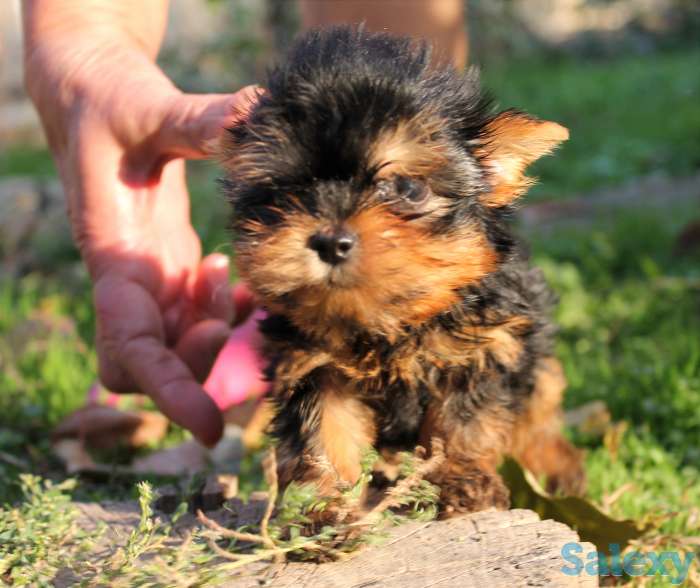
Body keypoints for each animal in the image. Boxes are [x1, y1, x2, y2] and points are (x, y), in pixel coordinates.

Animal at [219, 25, 584, 516]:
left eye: (408, 189)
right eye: (285, 191)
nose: (330, 241)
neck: (389, 323)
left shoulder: (484, 349)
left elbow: (463, 424)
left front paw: (463, 481)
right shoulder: (312, 366)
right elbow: (324, 431)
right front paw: (322, 507)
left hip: (536, 359)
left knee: (538, 413)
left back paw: (557, 467)